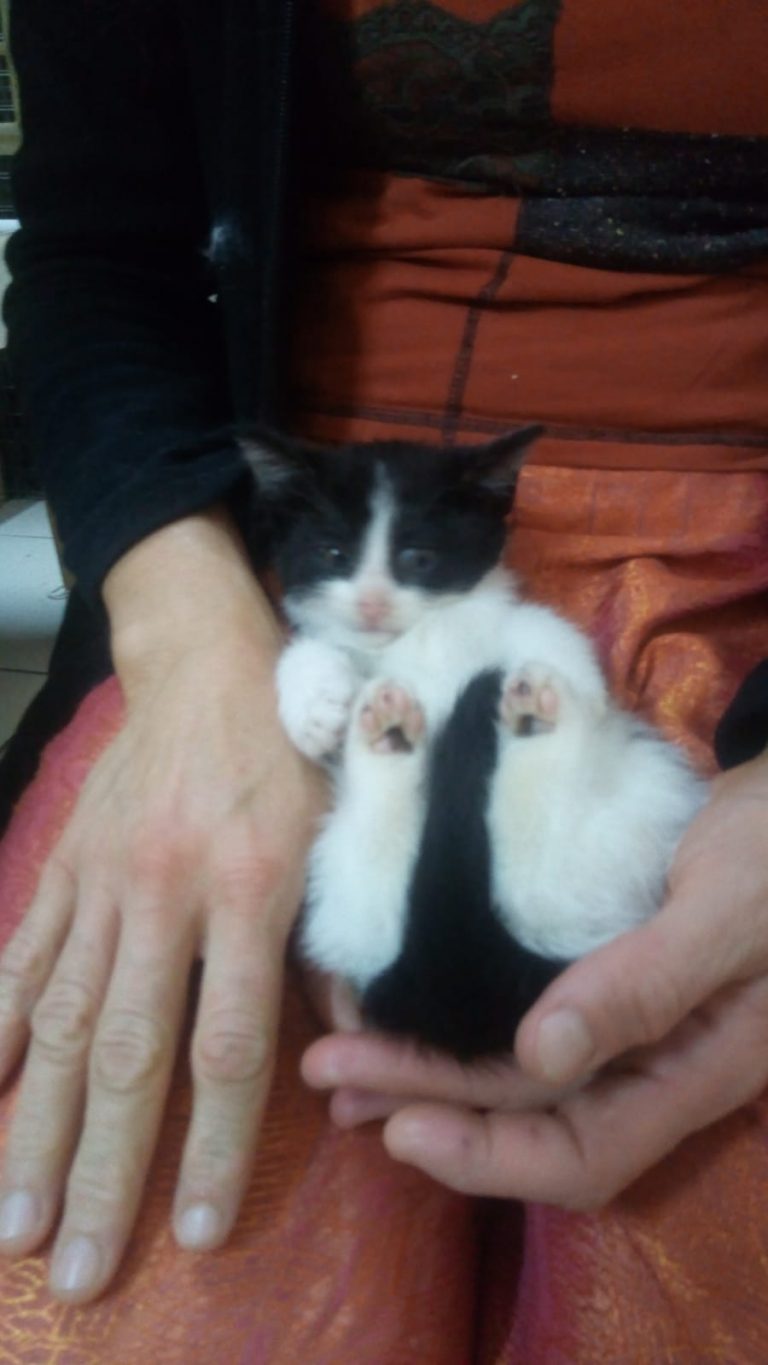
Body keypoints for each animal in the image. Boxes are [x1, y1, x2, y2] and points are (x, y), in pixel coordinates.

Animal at [239, 426, 707, 1059]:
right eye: (333, 555)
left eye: (418, 559)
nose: (371, 604)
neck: (413, 642)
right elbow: (310, 647)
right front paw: (315, 703)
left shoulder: (499, 618)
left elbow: (539, 626)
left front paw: (584, 687)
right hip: (348, 883)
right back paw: (395, 737)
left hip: (639, 793)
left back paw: (532, 724)